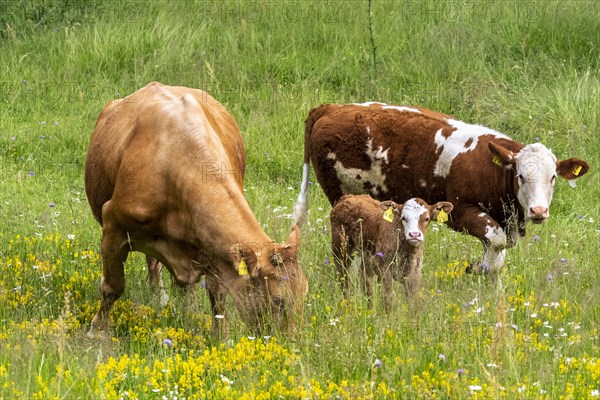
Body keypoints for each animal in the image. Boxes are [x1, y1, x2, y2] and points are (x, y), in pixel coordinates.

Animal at [85, 82, 310, 338]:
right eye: (278, 300)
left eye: (304, 292)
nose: (295, 342)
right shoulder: (113, 224)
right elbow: (112, 286)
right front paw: (97, 329)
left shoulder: (213, 250)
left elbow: (218, 296)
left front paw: (221, 337)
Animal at [292, 102, 588, 278]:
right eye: (521, 176)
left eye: (552, 177)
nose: (538, 211)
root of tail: (332, 107)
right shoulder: (460, 213)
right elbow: (496, 240)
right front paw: (476, 268)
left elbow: (497, 256)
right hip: (341, 196)